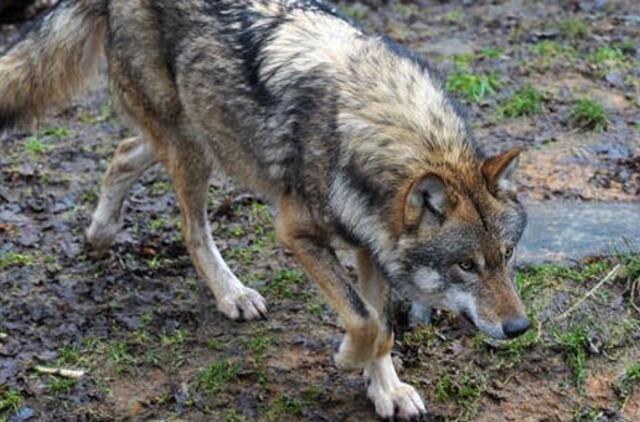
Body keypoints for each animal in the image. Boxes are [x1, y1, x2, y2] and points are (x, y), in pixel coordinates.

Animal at [0, 0, 528, 418]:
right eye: (465, 266)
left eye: (506, 257)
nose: (520, 328)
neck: (370, 128)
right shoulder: (296, 232)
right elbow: (366, 321)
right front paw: (348, 359)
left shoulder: (370, 246)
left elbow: (382, 327)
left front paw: (387, 391)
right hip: (193, 147)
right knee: (192, 230)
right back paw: (231, 294)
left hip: (195, 134)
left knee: (123, 153)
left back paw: (101, 232)